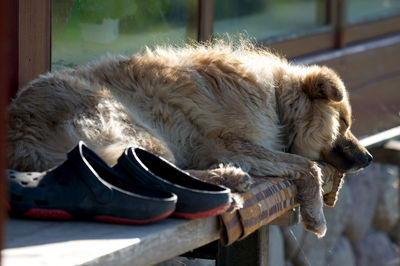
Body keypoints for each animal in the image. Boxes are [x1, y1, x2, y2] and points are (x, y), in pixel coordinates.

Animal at [7, 42, 374, 237]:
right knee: (150, 173)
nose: (369, 158)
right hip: (137, 129)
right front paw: (316, 216)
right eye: (343, 122)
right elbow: (308, 165)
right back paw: (227, 179)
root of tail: (20, 140)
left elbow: (302, 162)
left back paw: (227, 178)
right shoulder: (227, 142)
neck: (277, 98)